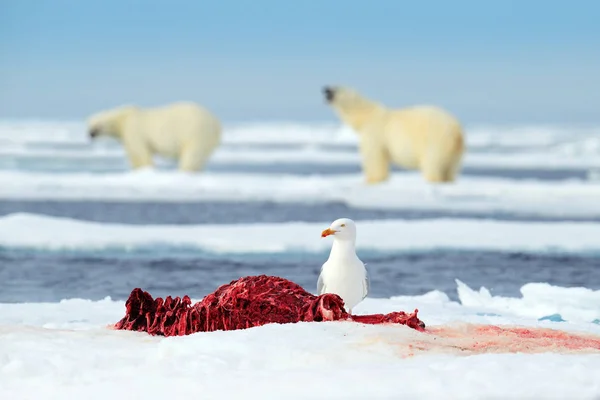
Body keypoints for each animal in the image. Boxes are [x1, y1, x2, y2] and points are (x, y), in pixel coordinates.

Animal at [88, 101, 221, 172]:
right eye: (88, 124)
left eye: (96, 125)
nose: (90, 134)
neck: (124, 119)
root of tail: (217, 124)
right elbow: (133, 154)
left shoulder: (134, 130)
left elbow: (140, 153)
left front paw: (145, 170)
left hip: (196, 132)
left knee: (192, 155)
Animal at [324, 86, 464, 184]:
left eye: (335, 88)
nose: (325, 89)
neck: (367, 116)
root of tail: (457, 132)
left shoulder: (374, 135)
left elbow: (374, 159)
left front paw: (372, 180)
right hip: (455, 154)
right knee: (451, 169)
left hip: (436, 142)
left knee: (433, 164)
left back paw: (433, 180)